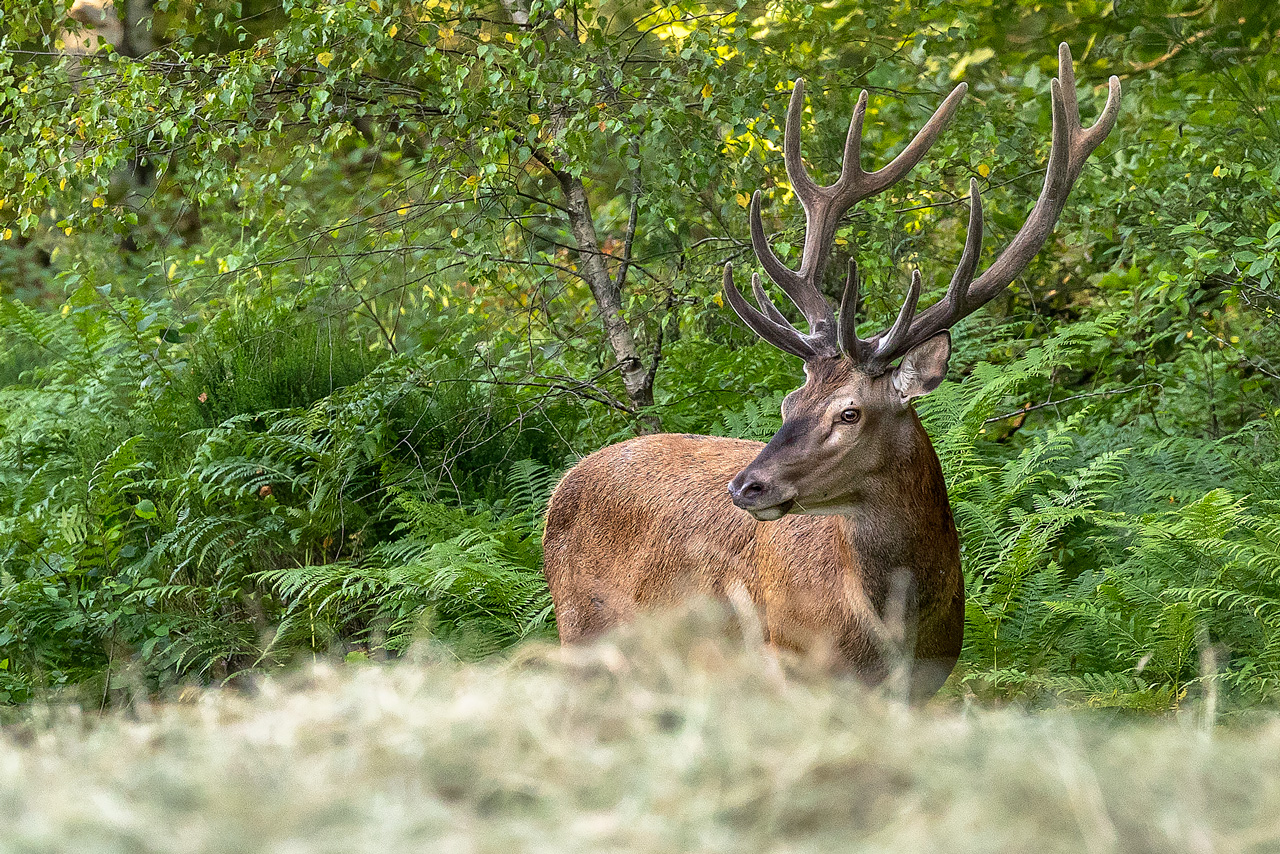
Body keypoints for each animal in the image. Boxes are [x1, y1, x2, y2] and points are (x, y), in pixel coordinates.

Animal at [542, 45, 1120, 700]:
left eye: (849, 412)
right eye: (789, 404)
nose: (746, 487)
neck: (893, 637)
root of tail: (561, 489)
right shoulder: (791, 668)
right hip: (584, 633)